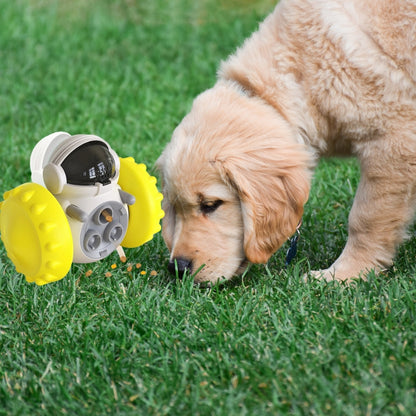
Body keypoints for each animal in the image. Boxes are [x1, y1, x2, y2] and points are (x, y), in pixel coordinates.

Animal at [158, 0, 416, 284]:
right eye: (175, 207)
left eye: (210, 205)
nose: (178, 268)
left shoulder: (392, 139)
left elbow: (365, 217)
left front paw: (344, 274)